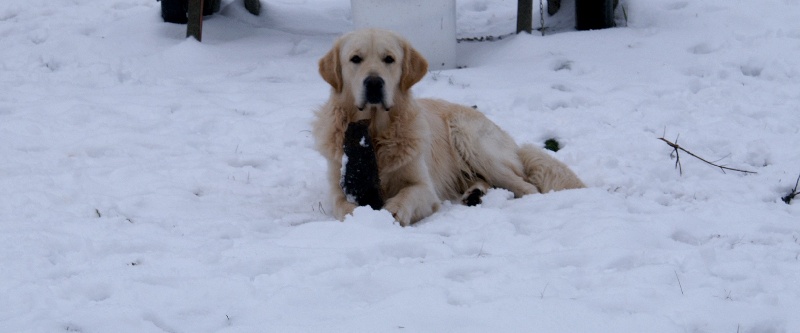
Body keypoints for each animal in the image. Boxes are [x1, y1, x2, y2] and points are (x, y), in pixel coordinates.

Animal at [314, 29, 588, 226]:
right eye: (355, 59)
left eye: (389, 59)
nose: (373, 83)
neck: (375, 132)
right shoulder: (337, 188)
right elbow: (343, 206)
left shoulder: (424, 187)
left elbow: (407, 194)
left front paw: (393, 211)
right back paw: (474, 194)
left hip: (469, 138)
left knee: (527, 187)